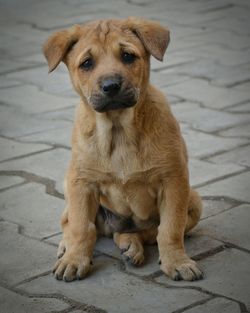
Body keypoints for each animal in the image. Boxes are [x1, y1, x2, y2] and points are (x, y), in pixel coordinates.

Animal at [43, 17, 203, 282]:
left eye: (128, 56)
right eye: (87, 63)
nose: (111, 86)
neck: (118, 130)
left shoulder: (174, 180)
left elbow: (169, 228)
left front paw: (177, 262)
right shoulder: (81, 183)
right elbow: (81, 228)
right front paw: (75, 260)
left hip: (194, 200)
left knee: (144, 232)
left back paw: (131, 245)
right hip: (70, 189)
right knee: (70, 222)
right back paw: (69, 247)